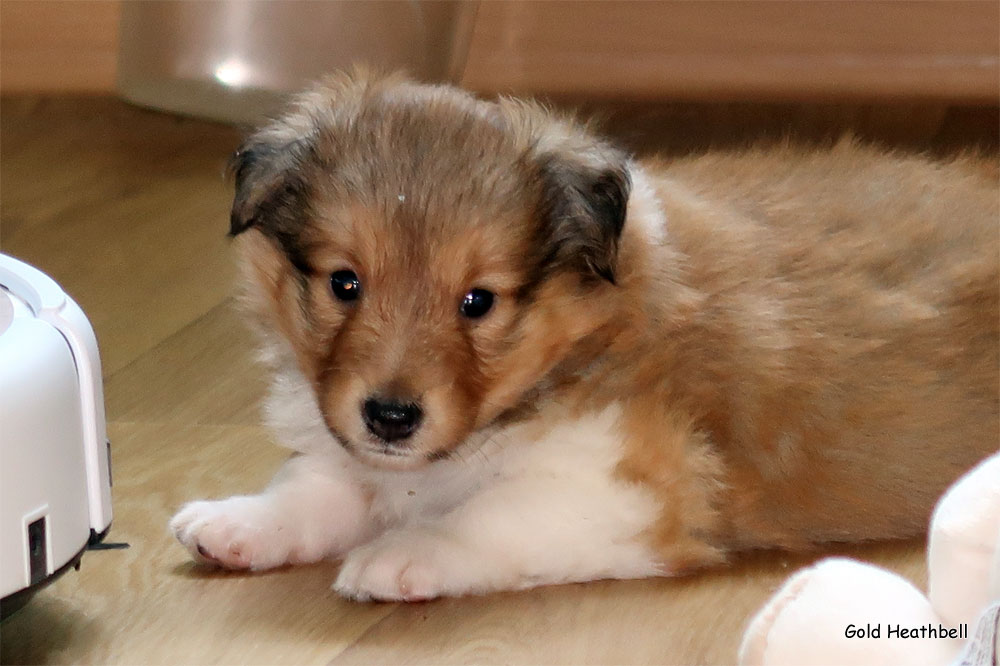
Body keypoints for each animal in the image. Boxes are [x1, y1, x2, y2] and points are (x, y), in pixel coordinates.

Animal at [168, 70, 996, 600]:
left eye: (478, 301)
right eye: (345, 283)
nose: (392, 418)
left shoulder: (633, 484)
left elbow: (490, 514)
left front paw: (404, 554)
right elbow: (317, 484)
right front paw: (240, 522)